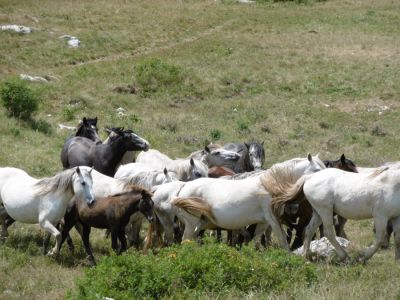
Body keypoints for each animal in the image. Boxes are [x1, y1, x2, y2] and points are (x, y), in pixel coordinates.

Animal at [272, 166, 400, 262]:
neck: (393, 185)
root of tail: (310, 177)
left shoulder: (396, 217)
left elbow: (397, 238)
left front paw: (397, 262)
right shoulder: (381, 216)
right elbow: (379, 239)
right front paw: (363, 257)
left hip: (318, 213)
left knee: (308, 230)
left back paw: (305, 256)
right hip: (325, 211)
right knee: (329, 233)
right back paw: (345, 256)